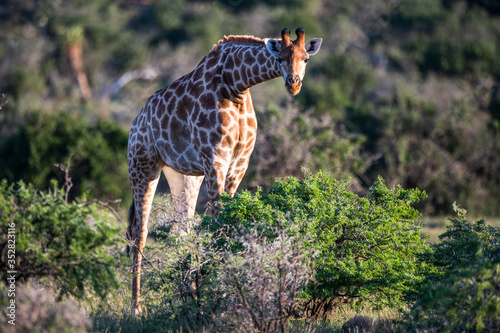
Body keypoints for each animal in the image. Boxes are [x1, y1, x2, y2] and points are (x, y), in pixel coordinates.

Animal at [127, 26, 322, 314]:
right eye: (279, 58)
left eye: (305, 59)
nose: (294, 84)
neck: (237, 85)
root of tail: (136, 121)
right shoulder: (215, 158)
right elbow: (218, 223)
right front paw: (219, 293)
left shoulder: (240, 162)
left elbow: (228, 222)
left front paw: (225, 292)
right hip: (142, 165)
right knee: (140, 233)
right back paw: (136, 306)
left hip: (183, 175)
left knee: (180, 231)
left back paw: (187, 296)